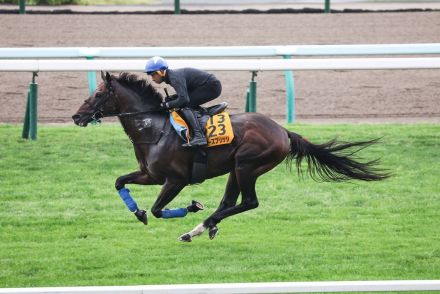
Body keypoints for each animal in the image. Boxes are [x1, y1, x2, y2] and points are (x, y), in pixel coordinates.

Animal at [72, 71, 388, 241]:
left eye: (98, 95)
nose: (76, 116)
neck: (155, 129)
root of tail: (282, 131)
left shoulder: (175, 180)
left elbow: (159, 210)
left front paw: (192, 206)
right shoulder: (151, 175)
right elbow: (119, 181)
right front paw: (137, 212)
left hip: (247, 164)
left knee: (248, 202)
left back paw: (201, 224)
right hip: (236, 169)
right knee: (229, 202)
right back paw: (201, 228)